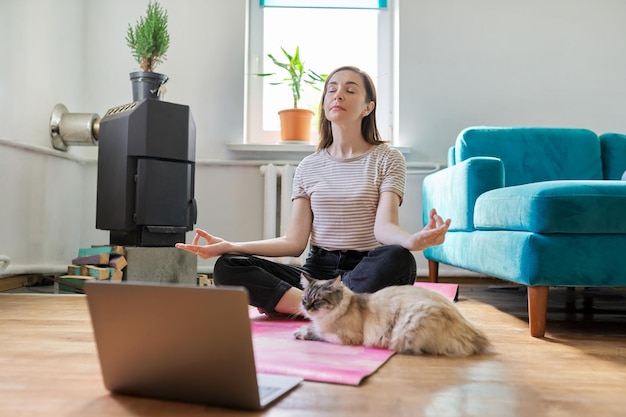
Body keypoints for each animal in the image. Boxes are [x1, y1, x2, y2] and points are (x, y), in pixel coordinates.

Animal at [294, 274, 490, 356]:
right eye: (305, 300)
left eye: (317, 301)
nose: (308, 308)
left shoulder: (342, 337)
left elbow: (316, 333)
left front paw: (300, 332)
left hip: (408, 327)